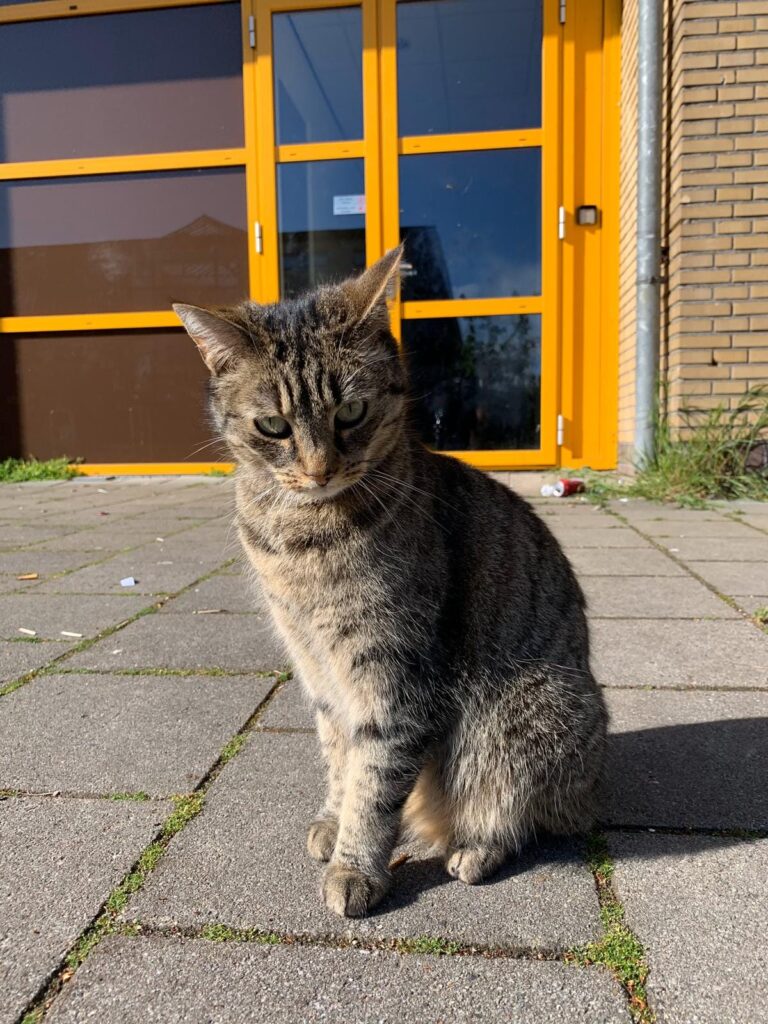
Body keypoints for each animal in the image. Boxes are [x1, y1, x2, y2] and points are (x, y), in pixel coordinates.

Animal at [174, 247, 606, 921]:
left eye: (351, 412)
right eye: (273, 426)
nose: (319, 469)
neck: (302, 535)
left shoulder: (394, 672)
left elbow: (375, 777)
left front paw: (356, 867)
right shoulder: (317, 667)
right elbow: (340, 755)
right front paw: (333, 823)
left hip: (522, 715)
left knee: (522, 813)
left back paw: (474, 849)